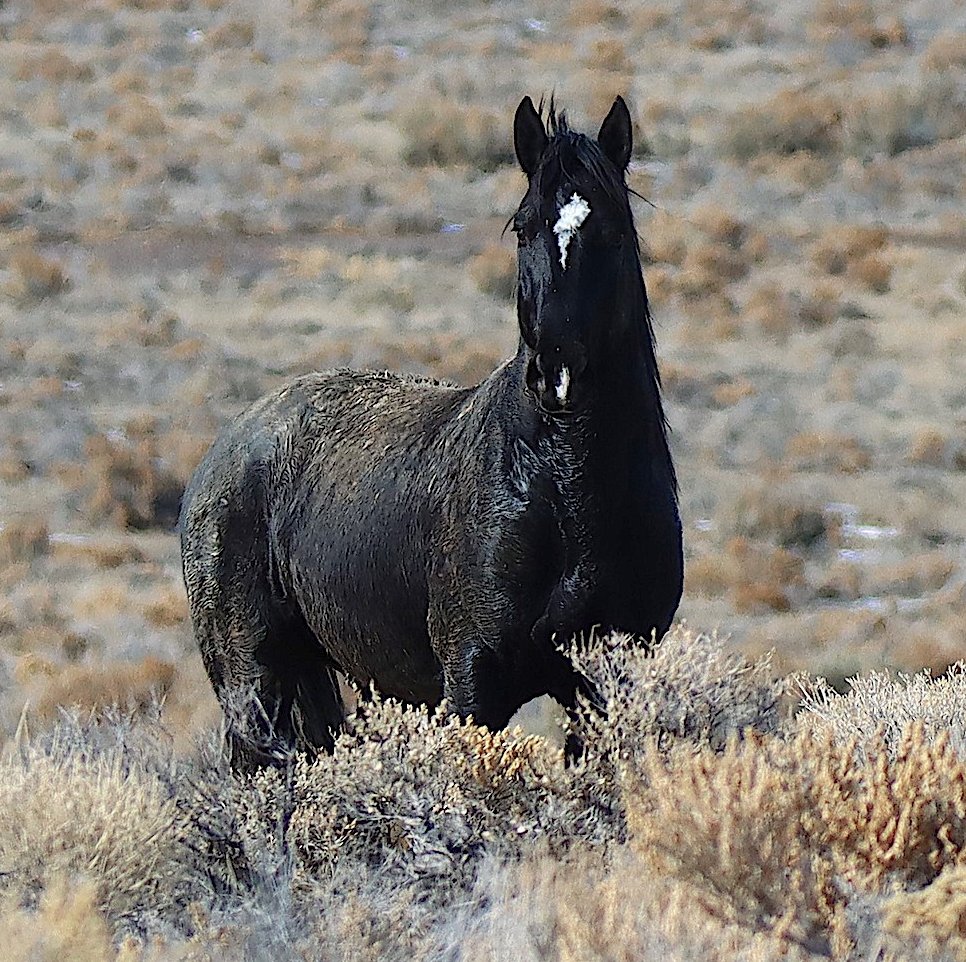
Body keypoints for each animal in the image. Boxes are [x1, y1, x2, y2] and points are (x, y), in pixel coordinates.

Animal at [179, 95, 683, 771]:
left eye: (610, 228)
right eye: (523, 226)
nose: (556, 370)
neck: (561, 487)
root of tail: (221, 454)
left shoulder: (603, 678)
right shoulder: (474, 680)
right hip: (251, 679)